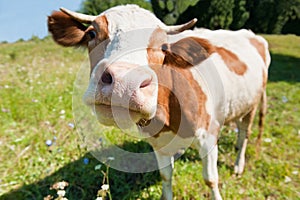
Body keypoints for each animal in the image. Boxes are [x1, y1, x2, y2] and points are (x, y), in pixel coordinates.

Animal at [48, 3, 270, 199]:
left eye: (163, 46)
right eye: (92, 34)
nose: (125, 82)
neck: (168, 117)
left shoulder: (208, 135)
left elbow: (210, 179)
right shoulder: (158, 143)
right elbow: (166, 176)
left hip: (253, 104)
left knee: (244, 134)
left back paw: (238, 165)